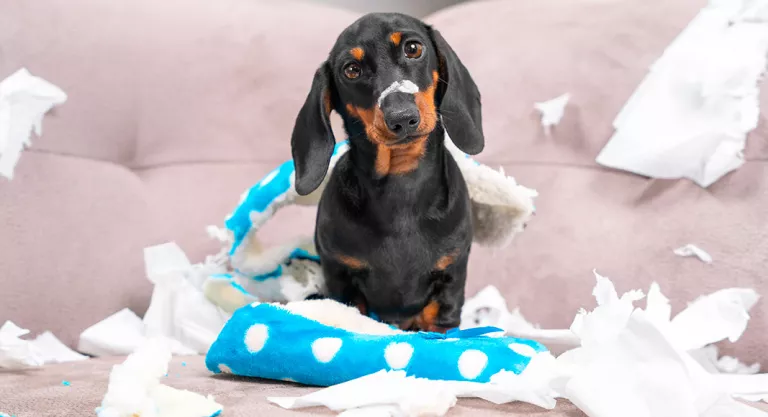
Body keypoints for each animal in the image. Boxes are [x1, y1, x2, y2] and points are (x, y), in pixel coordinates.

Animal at [292, 12, 484, 332]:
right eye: (352, 69)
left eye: (413, 48)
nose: (402, 118)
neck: (401, 185)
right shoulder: (341, 277)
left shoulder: (450, 278)